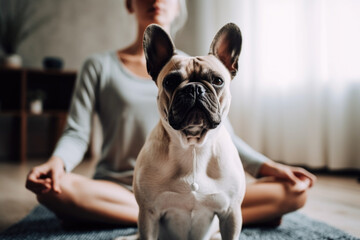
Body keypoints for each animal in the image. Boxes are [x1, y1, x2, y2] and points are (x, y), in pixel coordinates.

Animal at [123, 23, 245, 240]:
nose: (194, 88)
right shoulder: (148, 214)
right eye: (170, 82)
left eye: (218, 81)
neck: (192, 147)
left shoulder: (231, 213)